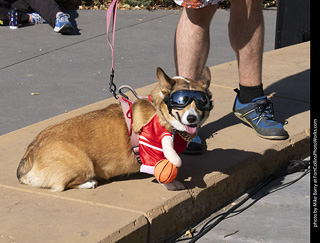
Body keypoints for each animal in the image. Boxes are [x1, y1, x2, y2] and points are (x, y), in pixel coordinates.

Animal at [16, 67, 212, 192]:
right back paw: (89, 183)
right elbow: (160, 169)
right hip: (84, 163)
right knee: (63, 185)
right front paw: (171, 184)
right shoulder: (151, 149)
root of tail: (31, 152)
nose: (192, 118)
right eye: (181, 101)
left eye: (202, 101)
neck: (160, 111)